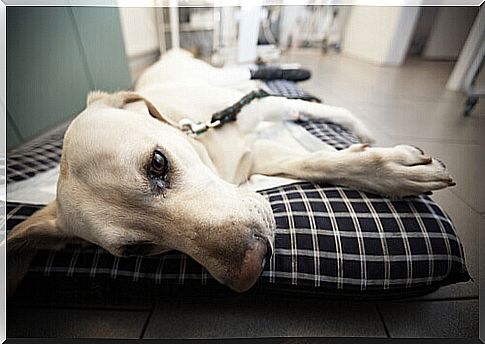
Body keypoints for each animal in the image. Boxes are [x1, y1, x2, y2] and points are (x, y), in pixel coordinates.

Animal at [6, 48, 454, 296]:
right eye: (137, 252)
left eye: (157, 163)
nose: (252, 267)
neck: (204, 141)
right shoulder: (255, 157)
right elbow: (316, 161)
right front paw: (386, 169)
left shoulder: (261, 109)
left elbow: (320, 115)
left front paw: (374, 144)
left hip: (231, 80)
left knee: (254, 71)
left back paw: (296, 74)